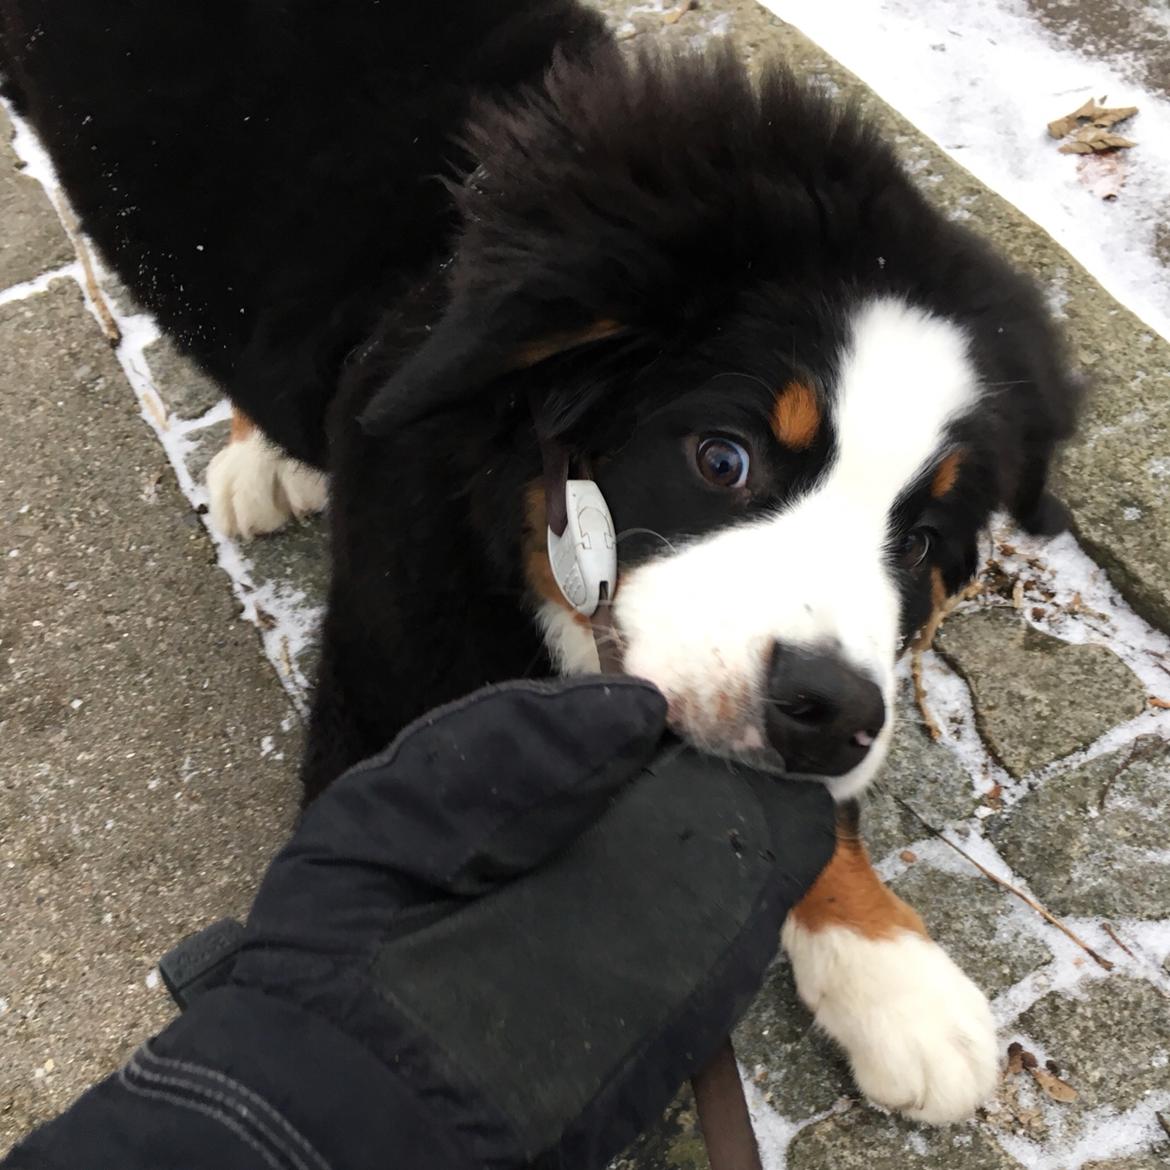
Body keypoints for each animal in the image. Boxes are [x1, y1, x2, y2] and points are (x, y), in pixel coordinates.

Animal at [0, 0, 1081, 1127]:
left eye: (920, 543)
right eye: (723, 459)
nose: (829, 714)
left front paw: (892, 976)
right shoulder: (390, 664)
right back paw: (261, 457)